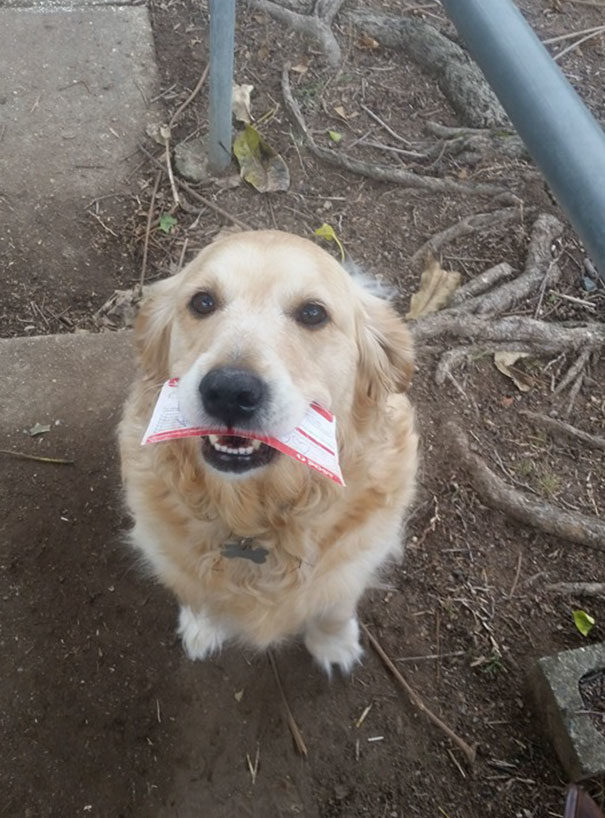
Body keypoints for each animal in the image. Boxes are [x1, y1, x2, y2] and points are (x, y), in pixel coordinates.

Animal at [120, 228, 418, 668]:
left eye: (313, 313)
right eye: (202, 302)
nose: (229, 391)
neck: (254, 520)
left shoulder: (354, 561)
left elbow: (334, 606)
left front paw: (333, 644)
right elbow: (196, 592)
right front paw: (203, 626)